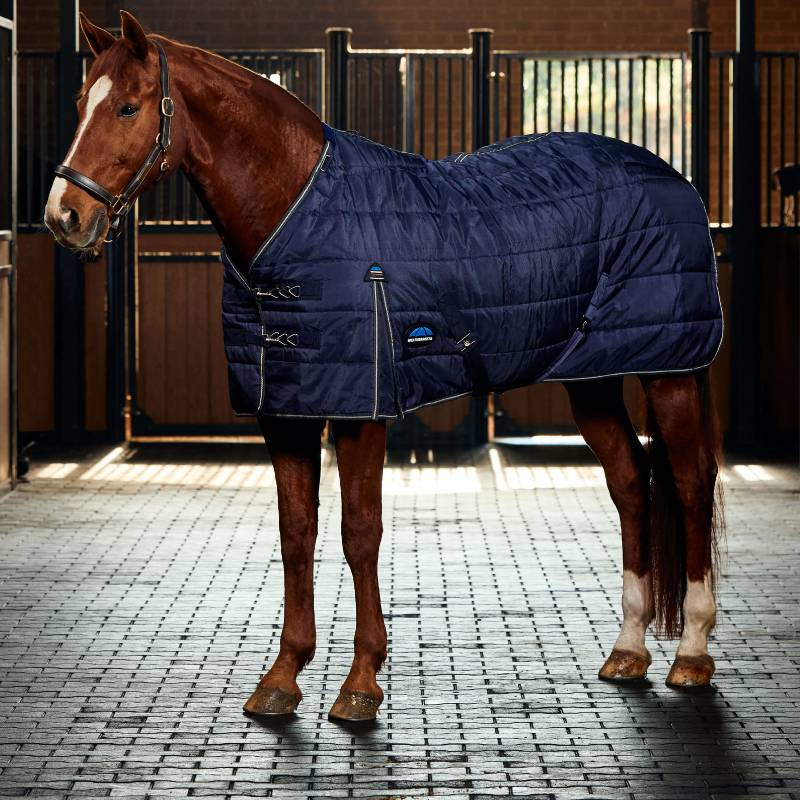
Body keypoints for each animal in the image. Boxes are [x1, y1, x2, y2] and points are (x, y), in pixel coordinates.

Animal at [44, 11, 724, 723]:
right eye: (80, 103)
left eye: (128, 107)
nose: (64, 215)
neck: (297, 218)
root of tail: (673, 177)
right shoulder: (284, 410)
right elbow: (297, 532)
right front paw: (282, 677)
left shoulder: (361, 409)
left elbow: (359, 532)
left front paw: (361, 682)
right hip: (592, 379)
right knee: (631, 483)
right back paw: (628, 650)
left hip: (670, 372)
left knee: (689, 482)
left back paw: (691, 654)